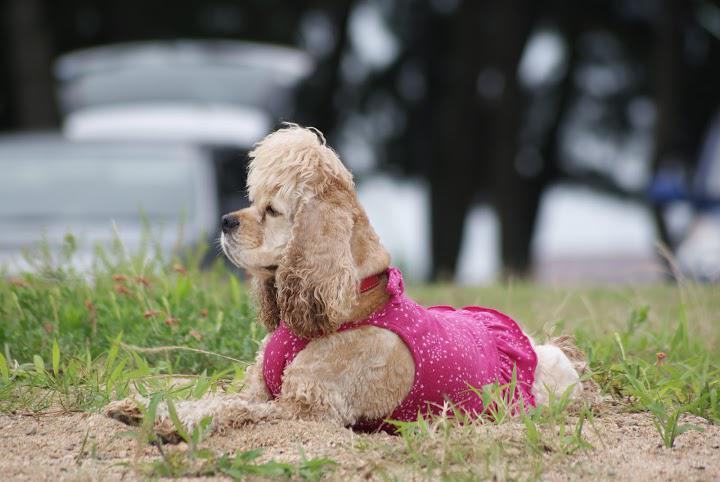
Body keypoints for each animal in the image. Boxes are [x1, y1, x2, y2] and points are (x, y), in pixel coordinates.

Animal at [104, 124, 584, 440]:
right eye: (252, 200)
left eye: (272, 210)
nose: (224, 221)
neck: (350, 305)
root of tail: (552, 351)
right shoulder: (260, 388)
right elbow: (213, 395)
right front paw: (136, 404)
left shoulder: (307, 407)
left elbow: (227, 407)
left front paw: (163, 419)